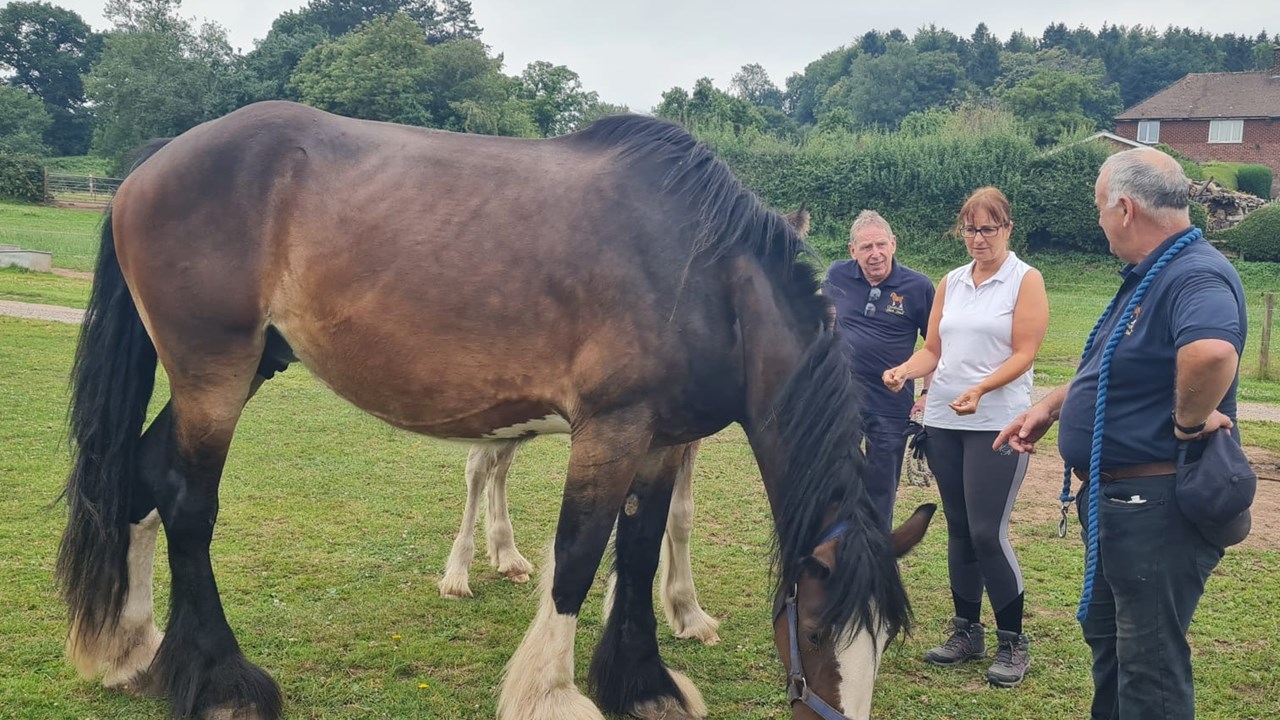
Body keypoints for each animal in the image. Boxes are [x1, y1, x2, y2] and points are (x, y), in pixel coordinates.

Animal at [56, 100, 933, 720]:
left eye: (887, 639)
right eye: (815, 632)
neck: (707, 274)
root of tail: (153, 165)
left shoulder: (660, 442)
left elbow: (639, 547)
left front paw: (644, 684)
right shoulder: (612, 430)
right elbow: (579, 555)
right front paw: (553, 694)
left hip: (243, 370)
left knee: (141, 481)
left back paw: (134, 651)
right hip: (213, 372)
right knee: (187, 503)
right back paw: (223, 682)